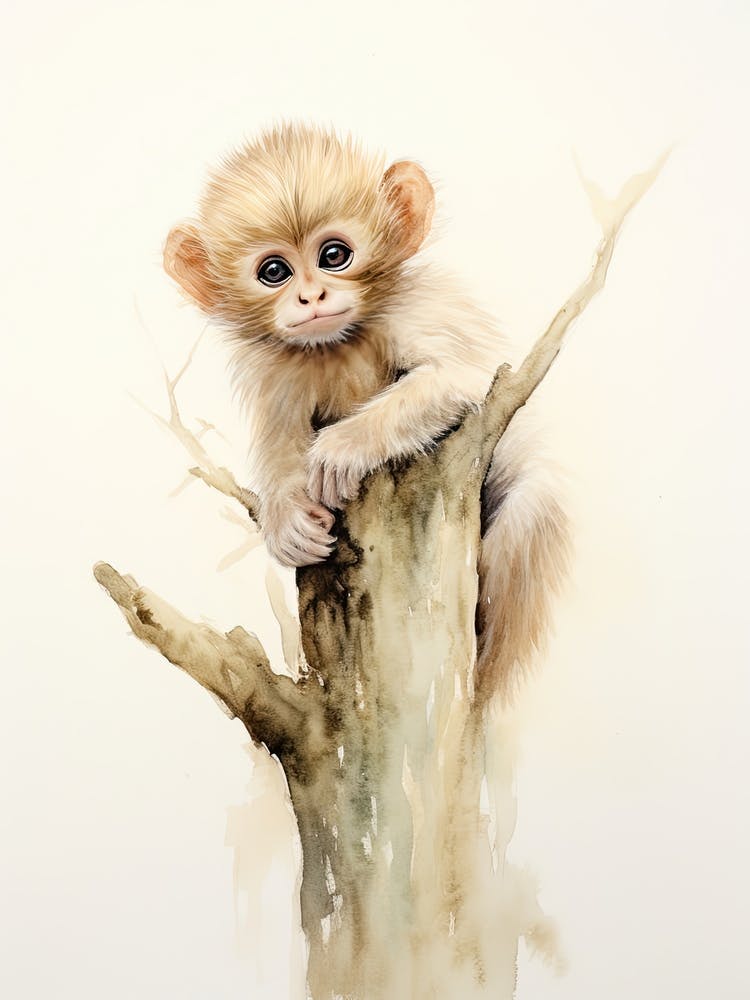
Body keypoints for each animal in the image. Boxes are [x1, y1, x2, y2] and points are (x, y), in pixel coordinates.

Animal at [163, 123, 570, 695]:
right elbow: (280, 441)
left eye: (335, 255)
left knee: (531, 512)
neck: (338, 343)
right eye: (274, 271)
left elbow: (462, 376)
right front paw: (287, 521)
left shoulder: (418, 308)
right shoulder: (275, 368)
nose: (311, 297)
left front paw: (340, 451)